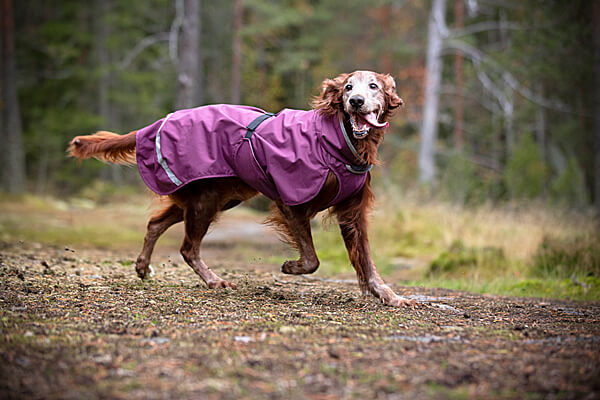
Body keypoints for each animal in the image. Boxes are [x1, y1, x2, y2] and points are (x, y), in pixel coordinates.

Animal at [69, 70, 415, 307]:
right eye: (347, 88)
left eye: (373, 87)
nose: (356, 102)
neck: (340, 142)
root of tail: (153, 126)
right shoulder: (291, 199)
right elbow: (312, 259)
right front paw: (290, 266)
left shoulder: (352, 212)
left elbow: (366, 262)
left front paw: (390, 296)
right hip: (205, 201)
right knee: (187, 248)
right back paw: (214, 281)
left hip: (212, 198)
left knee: (155, 223)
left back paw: (143, 267)